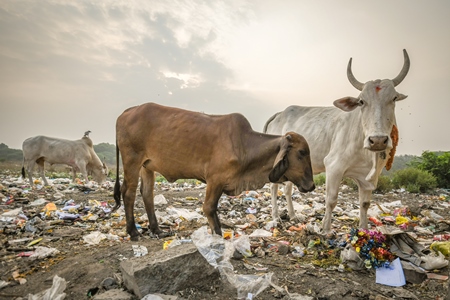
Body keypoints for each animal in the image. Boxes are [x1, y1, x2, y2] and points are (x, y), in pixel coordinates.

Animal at [114, 103, 314, 241]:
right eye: (302, 152)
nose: (311, 185)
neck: (245, 146)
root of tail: (127, 111)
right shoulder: (214, 180)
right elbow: (209, 208)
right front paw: (217, 237)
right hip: (132, 161)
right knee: (129, 193)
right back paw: (133, 231)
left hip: (147, 166)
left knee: (147, 194)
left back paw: (156, 230)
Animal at [264, 48, 412, 234]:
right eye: (361, 101)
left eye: (393, 98)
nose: (377, 140)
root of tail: (279, 114)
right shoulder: (334, 166)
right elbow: (331, 200)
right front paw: (326, 230)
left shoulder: (369, 178)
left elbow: (365, 204)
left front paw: (364, 229)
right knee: (274, 187)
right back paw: (276, 217)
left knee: (288, 188)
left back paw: (292, 216)